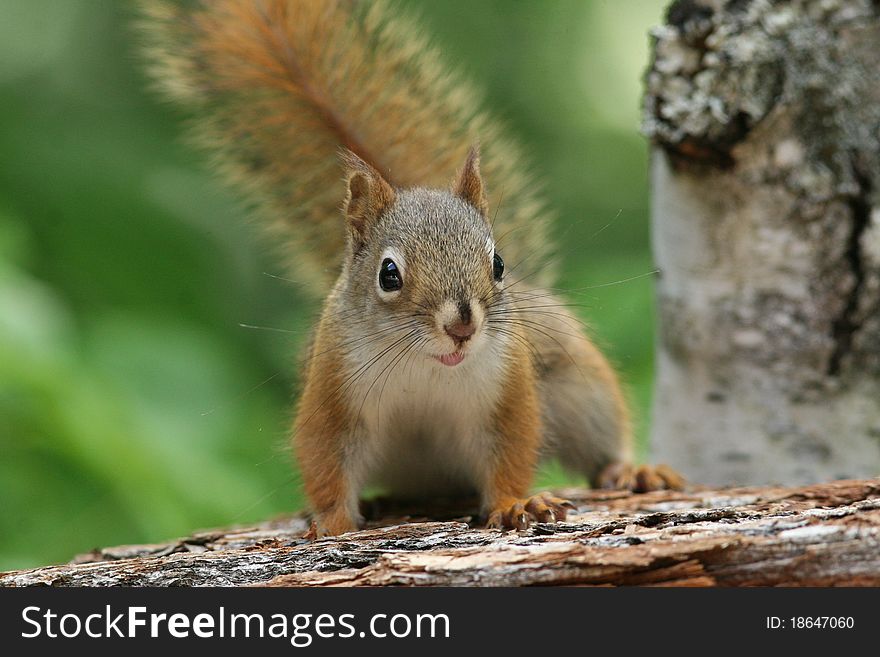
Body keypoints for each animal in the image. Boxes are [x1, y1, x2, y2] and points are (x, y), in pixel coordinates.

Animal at [141, 0, 684, 536]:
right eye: (389, 274)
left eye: (498, 264)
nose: (462, 326)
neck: (426, 367)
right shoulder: (332, 391)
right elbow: (325, 459)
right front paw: (331, 521)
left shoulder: (508, 390)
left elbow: (510, 451)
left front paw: (515, 504)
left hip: (581, 389)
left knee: (601, 447)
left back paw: (632, 470)